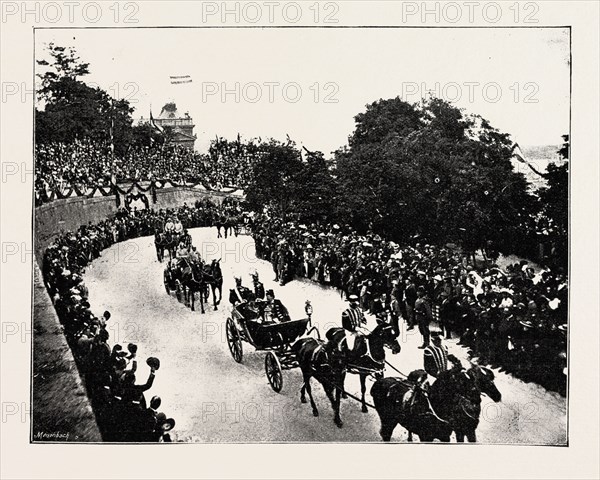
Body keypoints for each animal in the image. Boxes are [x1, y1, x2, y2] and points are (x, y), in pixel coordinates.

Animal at [370, 362, 502, 440]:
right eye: (461, 380)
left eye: (491, 378)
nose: (497, 395)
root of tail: (379, 382)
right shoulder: (426, 437)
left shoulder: (447, 435)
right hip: (387, 420)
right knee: (386, 434)